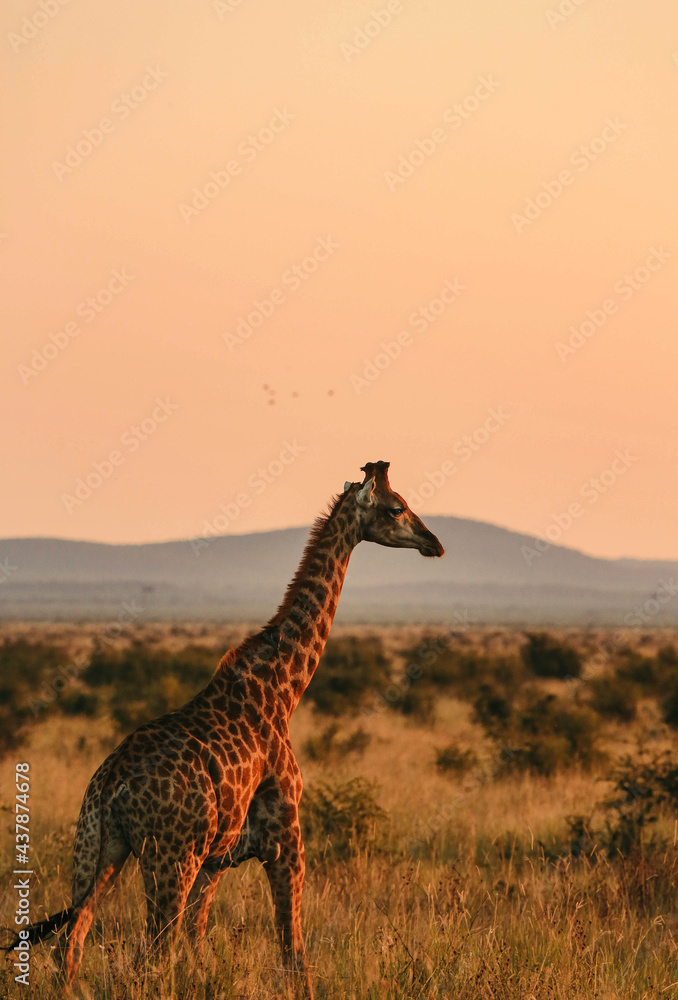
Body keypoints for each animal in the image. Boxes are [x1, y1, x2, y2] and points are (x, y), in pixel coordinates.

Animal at [6, 460, 446, 992]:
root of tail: (112, 786)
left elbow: (199, 948)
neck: (283, 689)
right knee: (149, 953)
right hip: (169, 859)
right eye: (396, 507)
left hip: (98, 850)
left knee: (72, 944)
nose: (434, 542)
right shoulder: (284, 836)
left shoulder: (217, 858)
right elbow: (293, 952)